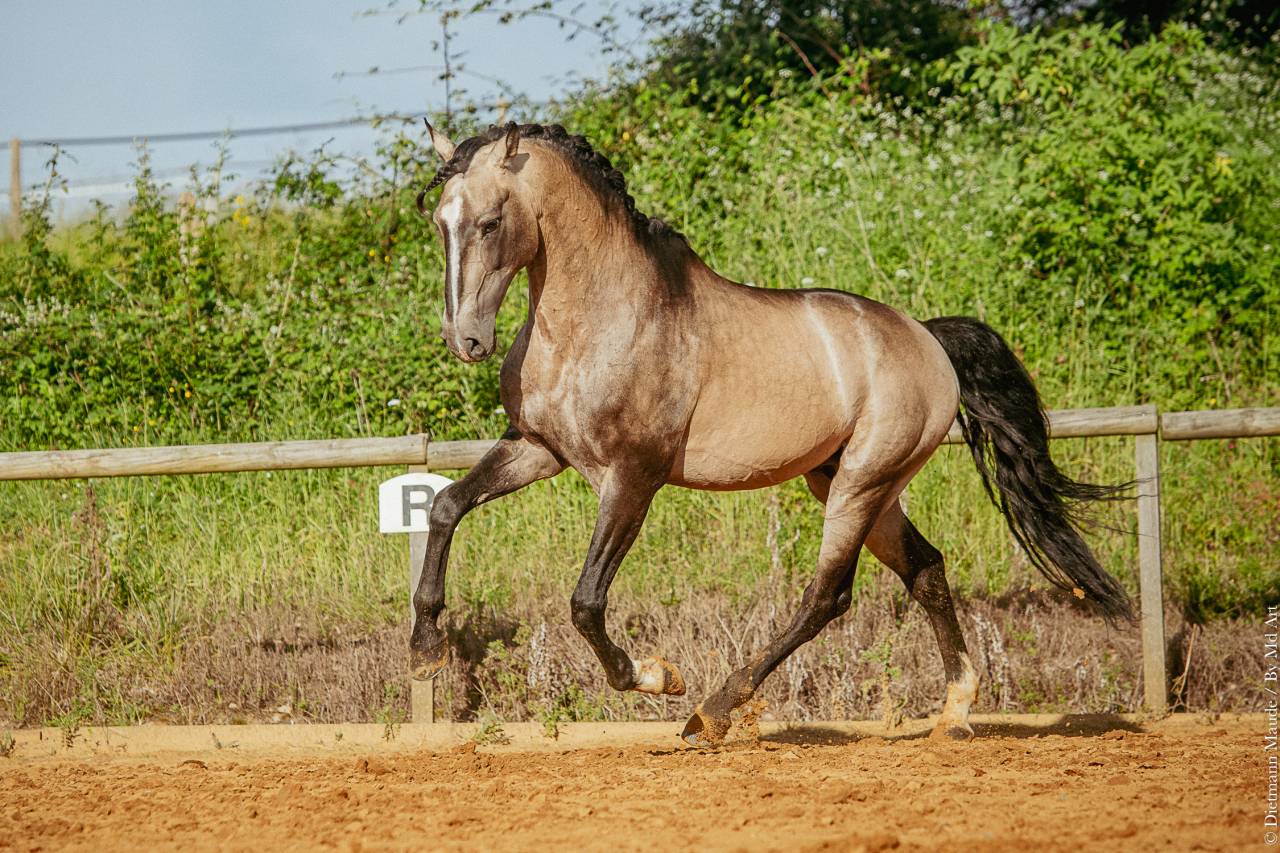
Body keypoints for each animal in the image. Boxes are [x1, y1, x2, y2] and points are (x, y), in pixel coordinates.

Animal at [409, 121, 1131, 745]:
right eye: (439, 223)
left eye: (490, 222)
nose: (466, 340)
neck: (598, 320)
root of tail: (928, 340)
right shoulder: (538, 448)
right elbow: (445, 506)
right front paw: (423, 651)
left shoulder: (634, 476)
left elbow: (586, 601)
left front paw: (656, 676)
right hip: (849, 483)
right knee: (925, 569)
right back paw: (954, 710)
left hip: (862, 484)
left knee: (827, 596)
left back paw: (713, 709)